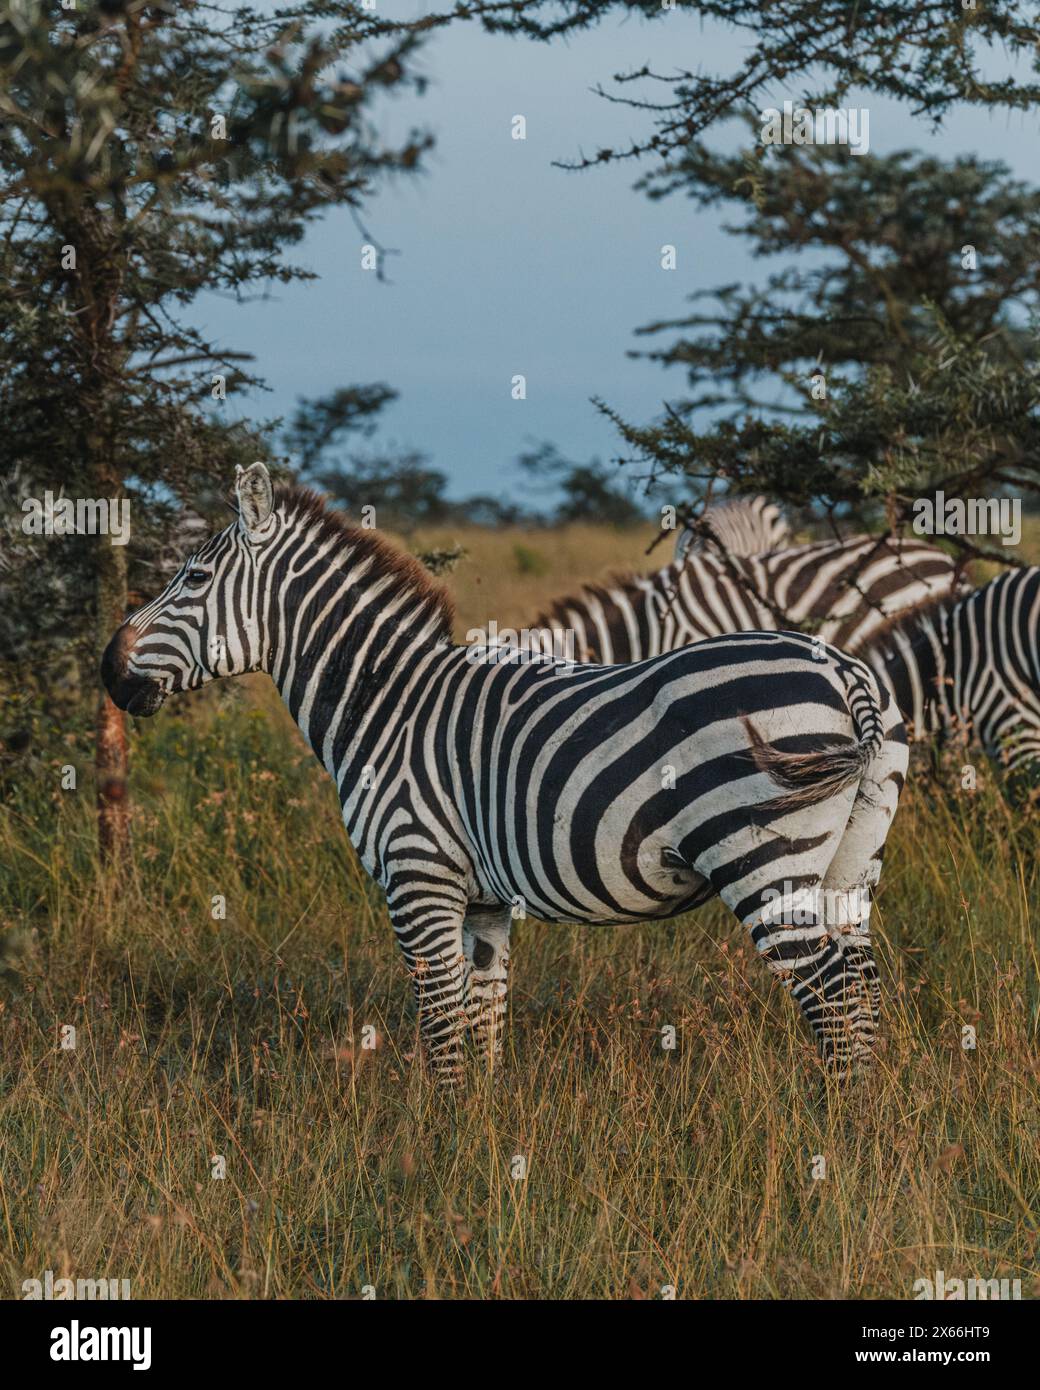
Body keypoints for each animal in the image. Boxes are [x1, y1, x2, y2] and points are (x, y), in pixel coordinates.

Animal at [102, 463, 908, 1080]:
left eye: (193, 577)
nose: (109, 670)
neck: (385, 701)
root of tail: (843, 671)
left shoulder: (418, 877)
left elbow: (440, 1031)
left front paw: (437, 1155)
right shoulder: (484, 903)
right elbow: (482, 1026)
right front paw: (484, 1150)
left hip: (765, 862)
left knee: (832, 997)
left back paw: (832, 1144)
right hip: (850, 864)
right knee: (863, 993)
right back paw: (862, 1133)